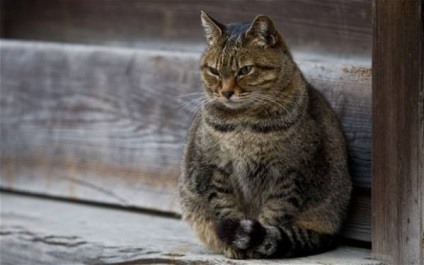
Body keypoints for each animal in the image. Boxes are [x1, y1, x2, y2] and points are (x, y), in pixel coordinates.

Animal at [178, 10, 352, 258]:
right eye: (213, 71)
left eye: (245, 70)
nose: (226, 92)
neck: (243, 124)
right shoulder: (213, 169)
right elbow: (225, 208)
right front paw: (234, 246)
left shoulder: (291, 174)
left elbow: (274, 216)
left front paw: (256, 247)